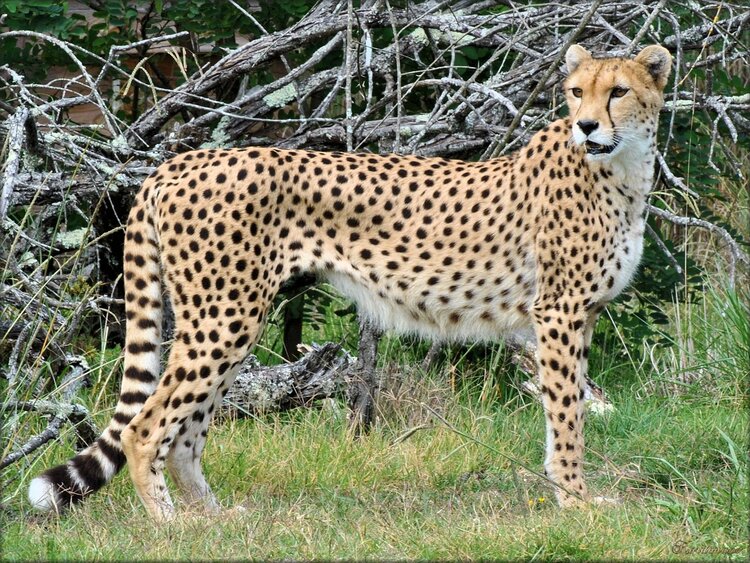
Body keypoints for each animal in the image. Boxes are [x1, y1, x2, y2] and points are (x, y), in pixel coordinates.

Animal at [29, 44, 676, 520]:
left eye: (618, 91)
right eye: (576, 92)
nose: (586, 126)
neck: (622, 169)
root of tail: (182, 160)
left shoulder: (575, 315)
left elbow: (570, 406)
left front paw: (573, 495)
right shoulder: (559, 312)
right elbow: (567, 416)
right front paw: (576, 503)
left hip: (228, 318)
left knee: (188, 430)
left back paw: (213, 519)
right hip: (224, 316)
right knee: (146, 427)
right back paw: (170, 525)